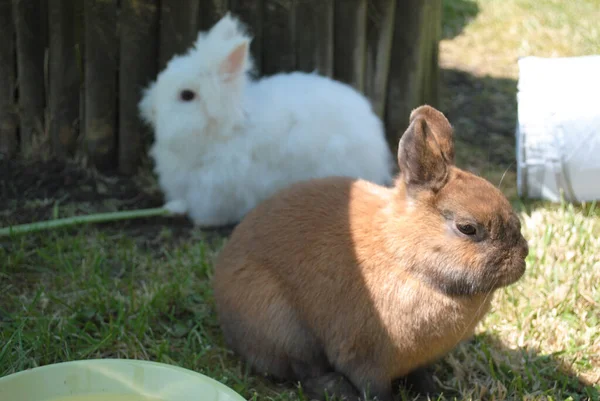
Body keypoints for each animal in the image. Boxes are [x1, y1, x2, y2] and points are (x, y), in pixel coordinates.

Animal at [212, 104, 528, 398]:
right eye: (467, 228)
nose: (522, 255)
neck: (404, 259)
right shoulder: (363, 359)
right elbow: (373, 388)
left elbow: (420, 375)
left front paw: (433, 391)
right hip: (285, 329)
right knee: (305, 370)